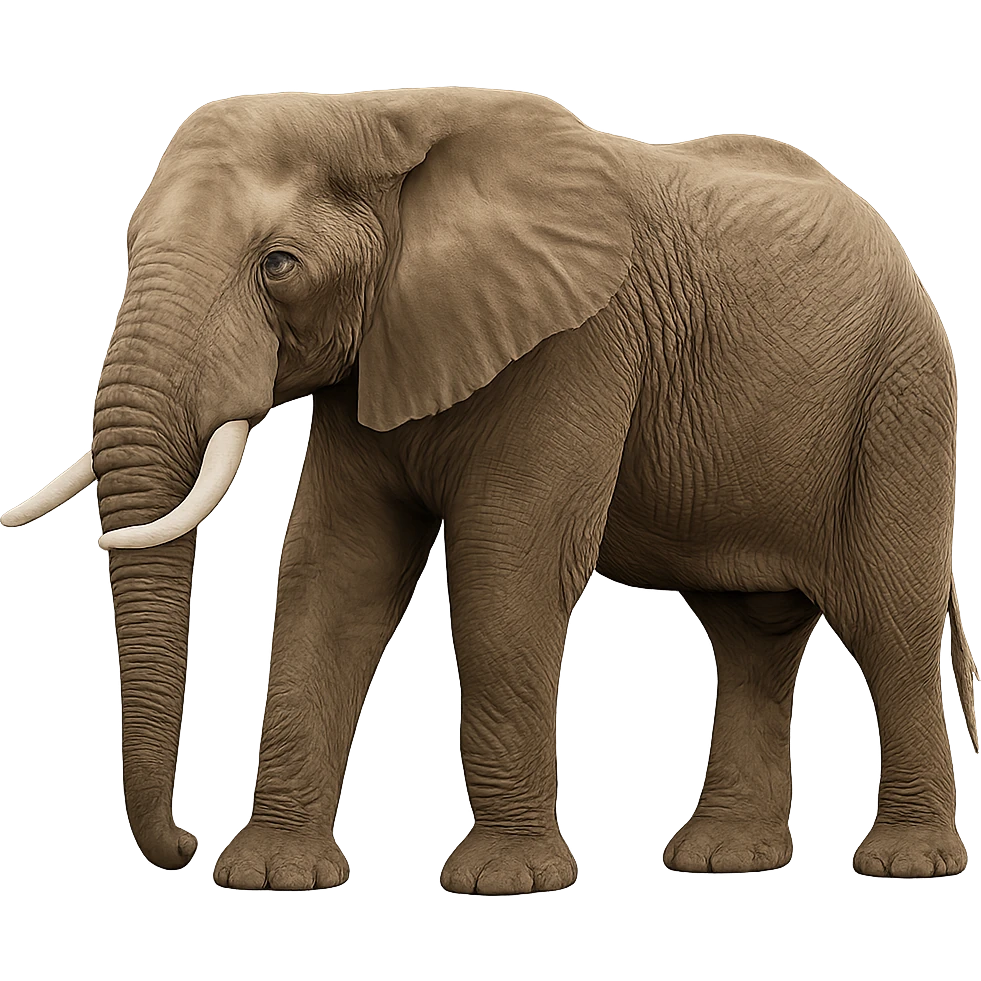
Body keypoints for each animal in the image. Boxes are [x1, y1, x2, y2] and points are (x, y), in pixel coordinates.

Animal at [2, 88, 976, 889]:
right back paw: (720, 857)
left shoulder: (577, 343)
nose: (184, 841)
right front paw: (271, 874)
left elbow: (506, 569)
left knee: (887, 616)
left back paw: (905, 863)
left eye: (279, 265)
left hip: (901, 398)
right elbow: (332, 567)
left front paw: (503, 880)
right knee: (749, 634)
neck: (378, 115)